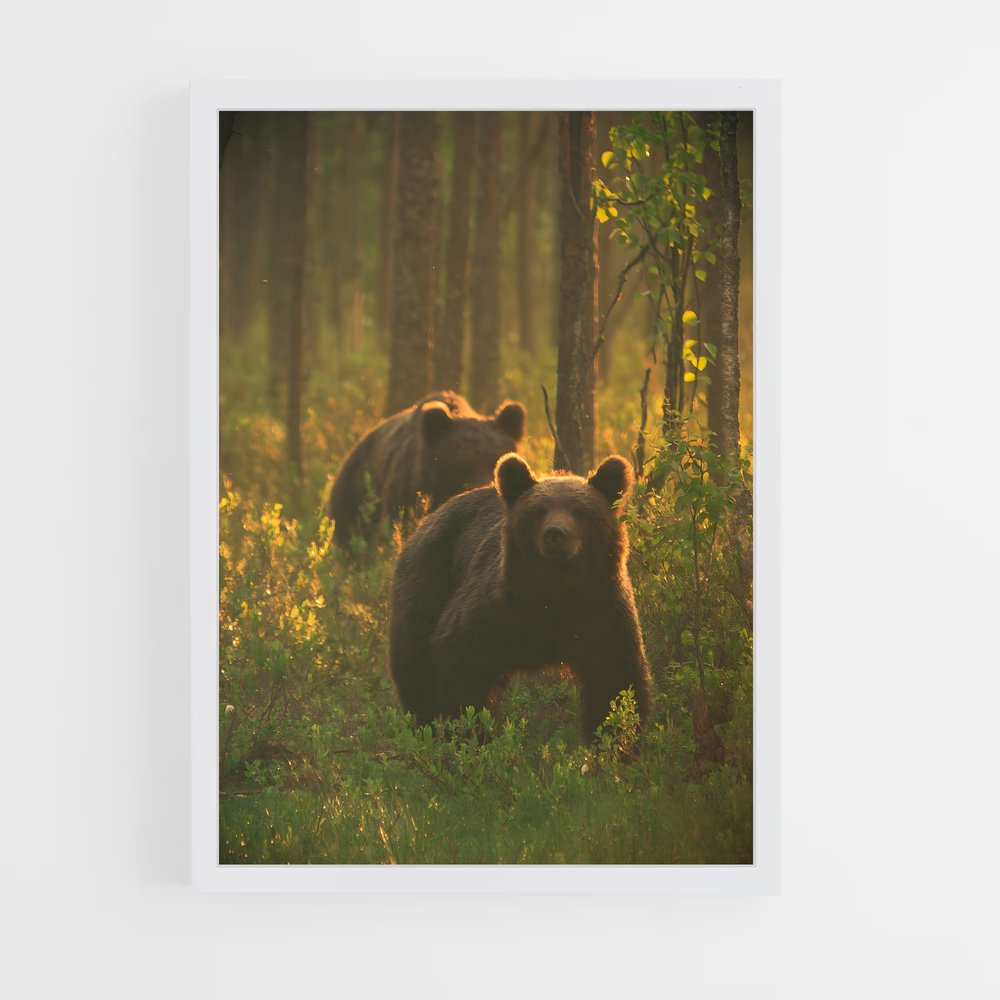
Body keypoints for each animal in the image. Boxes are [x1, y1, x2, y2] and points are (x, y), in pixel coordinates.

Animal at [388, 451, 652, 737]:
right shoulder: (498, 610)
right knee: (413, 667)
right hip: (427, 584)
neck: (556, 593)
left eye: (579, 511)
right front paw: (473, 731)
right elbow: (461, 661)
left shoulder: (600, 613)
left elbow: (615, 681)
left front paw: (614, 738)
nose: (555, 534)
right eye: (539, 511)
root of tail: (423, 523)